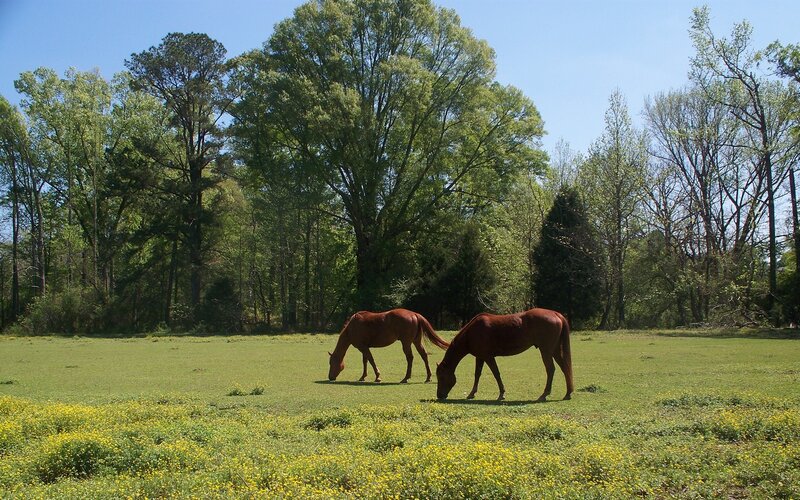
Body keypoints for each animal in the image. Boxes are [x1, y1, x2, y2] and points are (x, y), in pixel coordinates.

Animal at [436, 308, 573, 402]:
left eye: (441, 377)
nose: (439, 396)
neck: (471, 333)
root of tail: (556, 314)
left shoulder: (488, 357)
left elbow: (496, 374)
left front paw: (502, 394)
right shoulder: (480, 357)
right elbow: (477, 374)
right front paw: (472, 393)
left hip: (546, 351)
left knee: (550, 369)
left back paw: (544, 394)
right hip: (554, 350)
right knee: (564, 367)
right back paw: (567, 393)